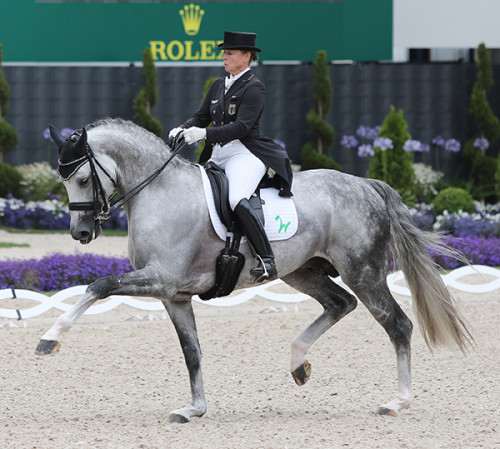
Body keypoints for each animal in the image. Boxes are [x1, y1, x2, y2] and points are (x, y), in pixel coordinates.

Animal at [36, 117, 472, 422]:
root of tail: (366, 184)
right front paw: (194, 409)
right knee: (339, 304)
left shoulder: (160, 279)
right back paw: (298, 364)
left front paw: (50, 339)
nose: (81, 233)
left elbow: (98, 285)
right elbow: (192, 352)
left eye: (82, 178)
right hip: (302, 271)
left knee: (397, 324)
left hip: (362, 271)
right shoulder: (173, 295)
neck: (159, 193)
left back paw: (396, 402)